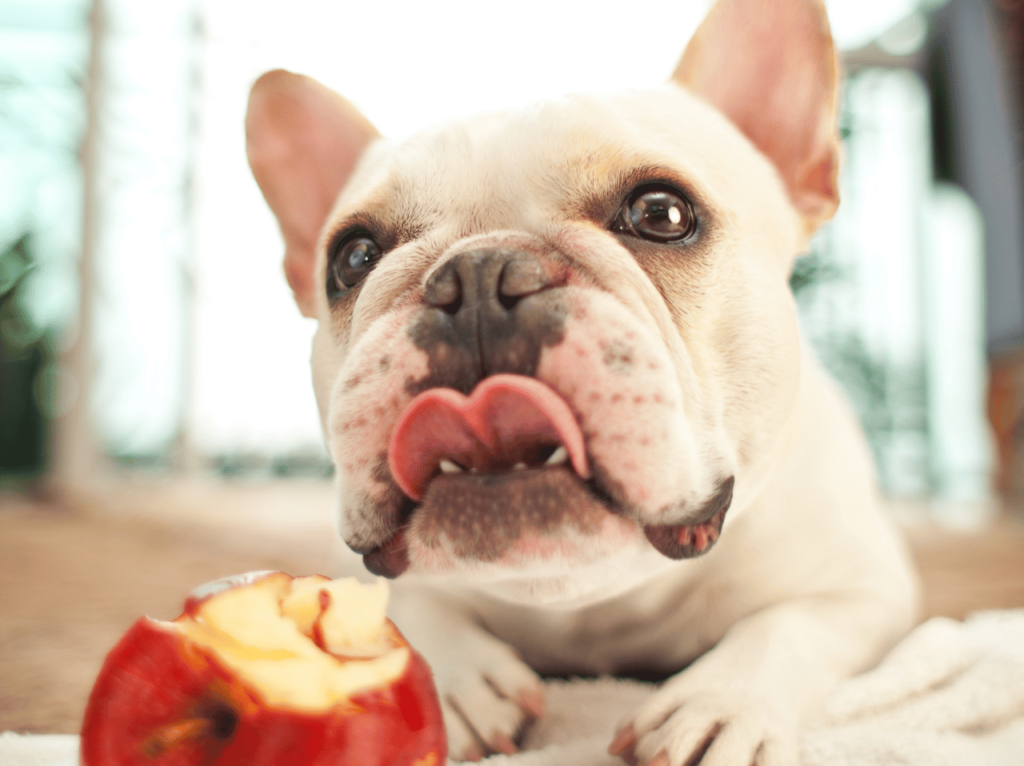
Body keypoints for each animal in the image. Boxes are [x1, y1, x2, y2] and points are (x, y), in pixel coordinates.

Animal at [245, 0, 921, 761]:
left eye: (662, 213)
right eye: (353, 257)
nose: (477, 275)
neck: (590, 598)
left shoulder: (865, 586)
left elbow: (788, 627)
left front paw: (720, 705)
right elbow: (401, 600)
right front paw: (452, 684)